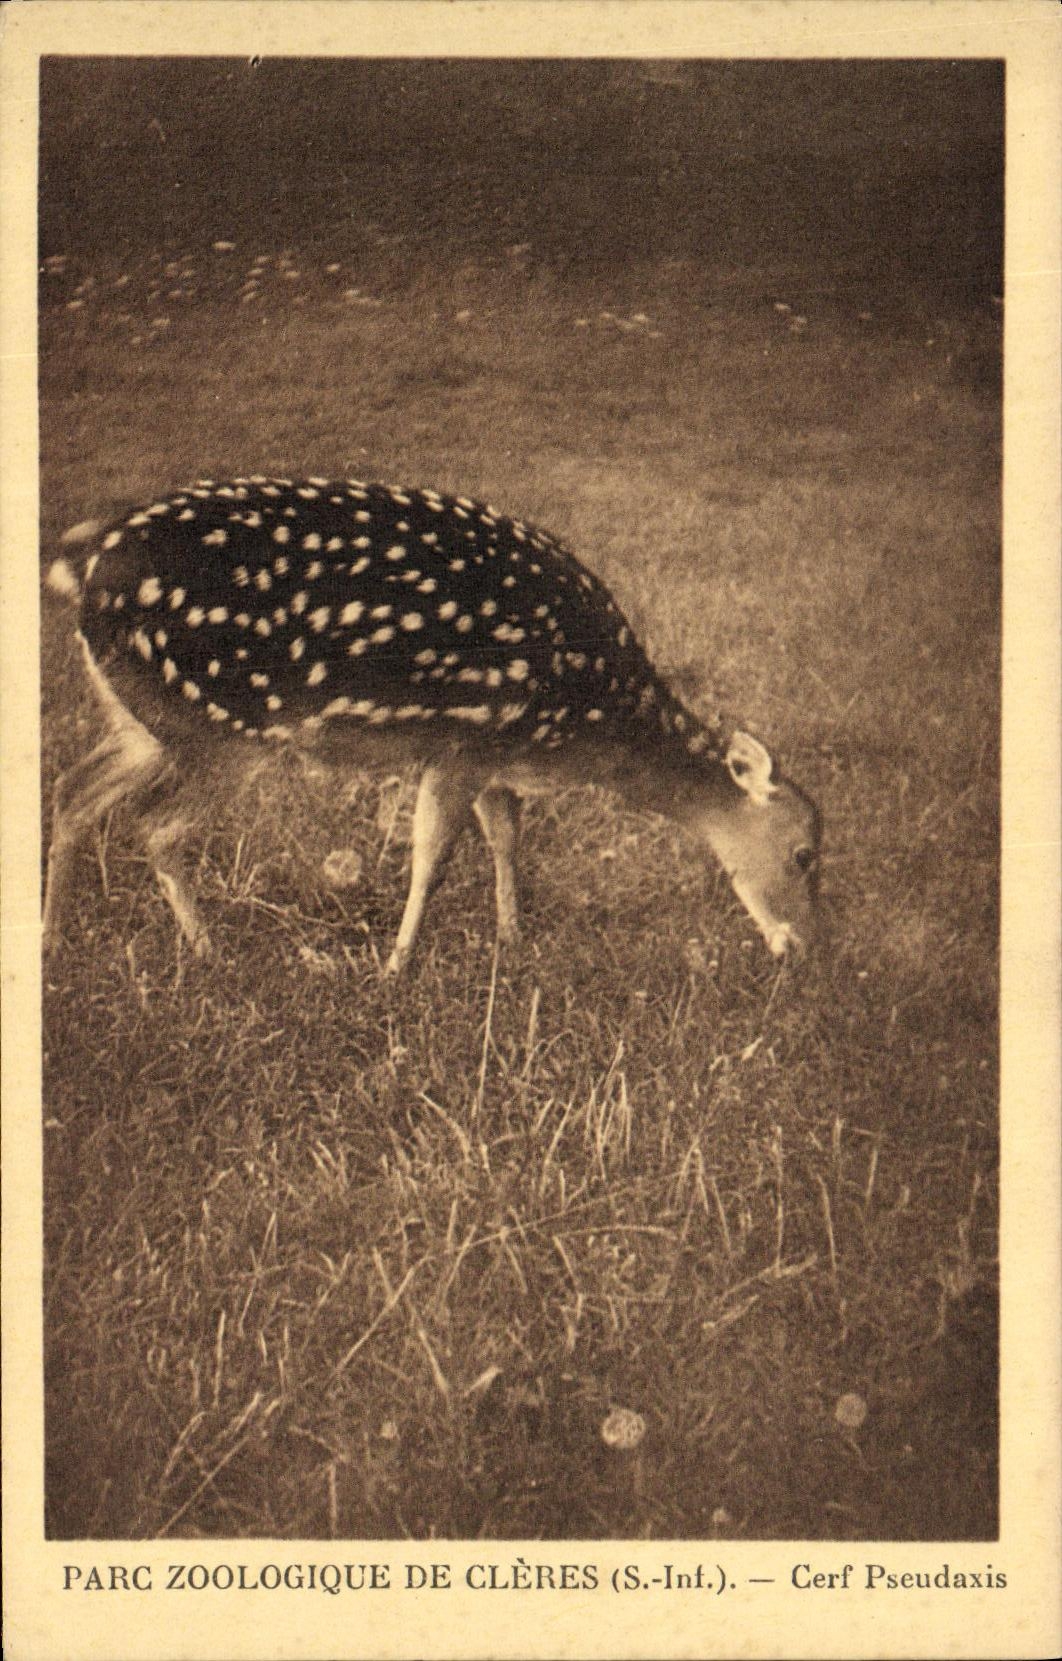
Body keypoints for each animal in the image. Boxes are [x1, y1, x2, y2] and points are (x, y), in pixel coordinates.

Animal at [43, 477, 821, 975]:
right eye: (805, 855)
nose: (805, 948)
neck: (583, 723)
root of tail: (82, 571)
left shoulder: (497, 753)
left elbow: (505, 835)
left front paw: (513, 937)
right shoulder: (461, 742)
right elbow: (433, 855)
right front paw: (396, 968)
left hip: (144, 721)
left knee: (73, 789)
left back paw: (50, 941)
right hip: (221, 723)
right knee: (155, 824)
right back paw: (211, 953)